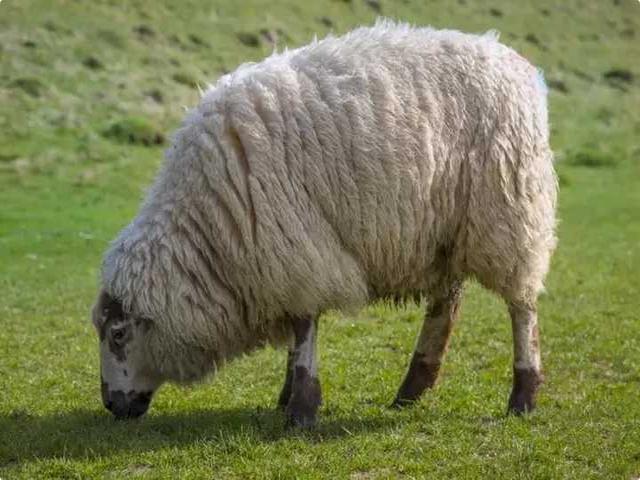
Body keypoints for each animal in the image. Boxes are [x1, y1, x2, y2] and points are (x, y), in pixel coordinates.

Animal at [92, 20, 557, 427]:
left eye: (118, 334)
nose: (112, 405)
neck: (208, 233)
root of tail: (513, 60)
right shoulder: (282, 255)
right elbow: (299, 325)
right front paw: (287, 397)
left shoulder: (295, 242)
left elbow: (304, 326)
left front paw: (300, 408)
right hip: (444, 228)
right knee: (447, 303)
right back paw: (412, 389)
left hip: (509, 209)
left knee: (521, 306)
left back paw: (523, 396)